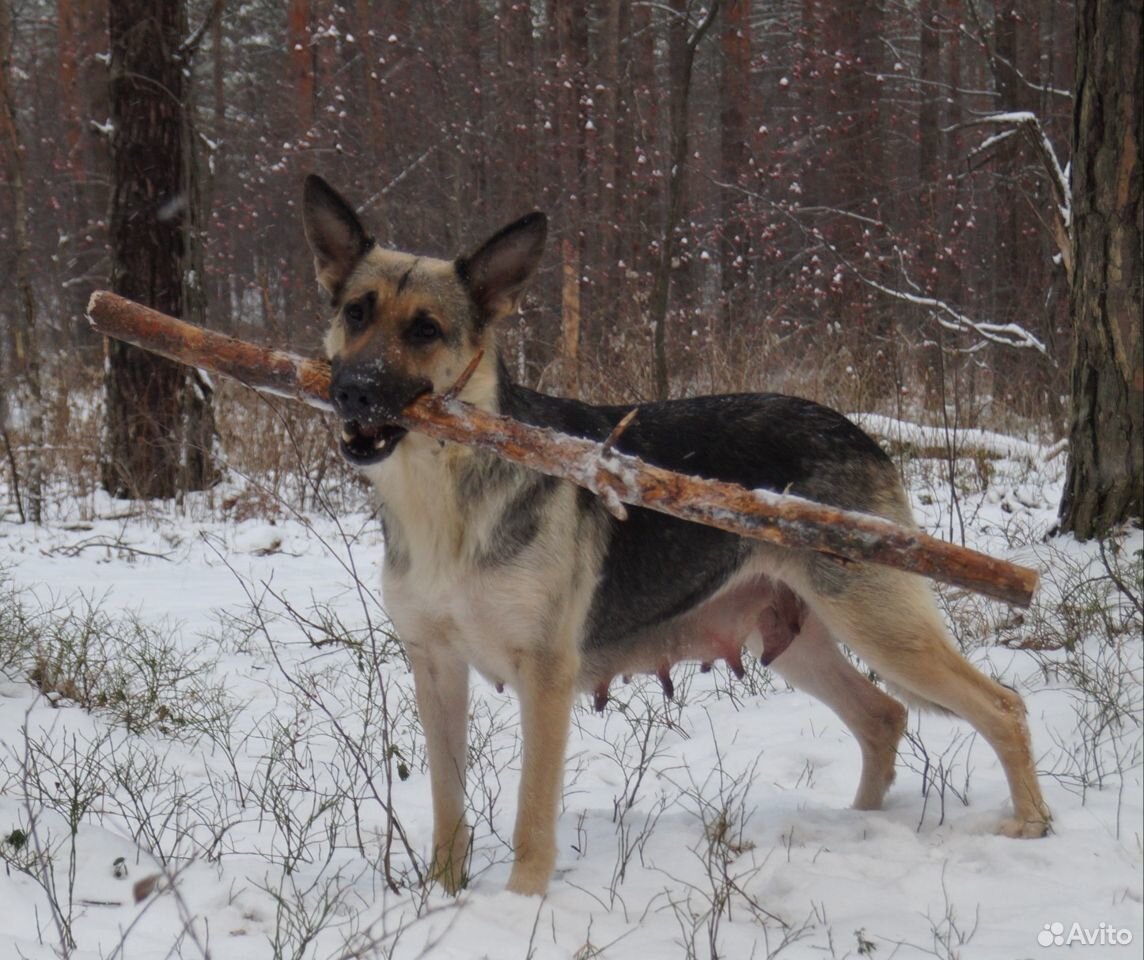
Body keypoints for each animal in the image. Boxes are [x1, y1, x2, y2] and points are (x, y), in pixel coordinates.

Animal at [299, 176, 1047, 897]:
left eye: (425, 329)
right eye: (356, 312)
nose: (353, 392)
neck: (445, 496)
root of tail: (860, 431)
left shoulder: (546, 673)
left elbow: (531, 817)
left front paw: (521, 906)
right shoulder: (435, 667)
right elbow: (448, 810)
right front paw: (443, 900)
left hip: (879, 624)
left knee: (1002, 706)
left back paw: (1032, 825)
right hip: (799, 636)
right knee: (883, 716)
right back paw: (861, 825)